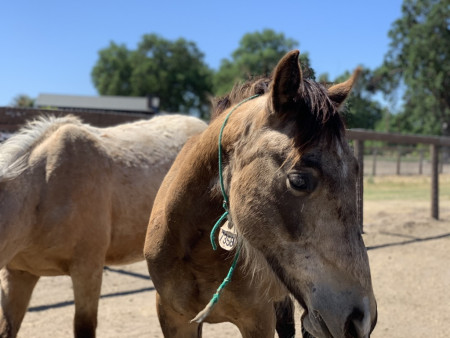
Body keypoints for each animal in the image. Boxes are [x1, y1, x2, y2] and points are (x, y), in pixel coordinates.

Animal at [146, 50, 378, 338]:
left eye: (356, 169)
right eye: (299, 181)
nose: (362, 319)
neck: (196, 252)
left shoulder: (258, 319)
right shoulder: (174, 317)